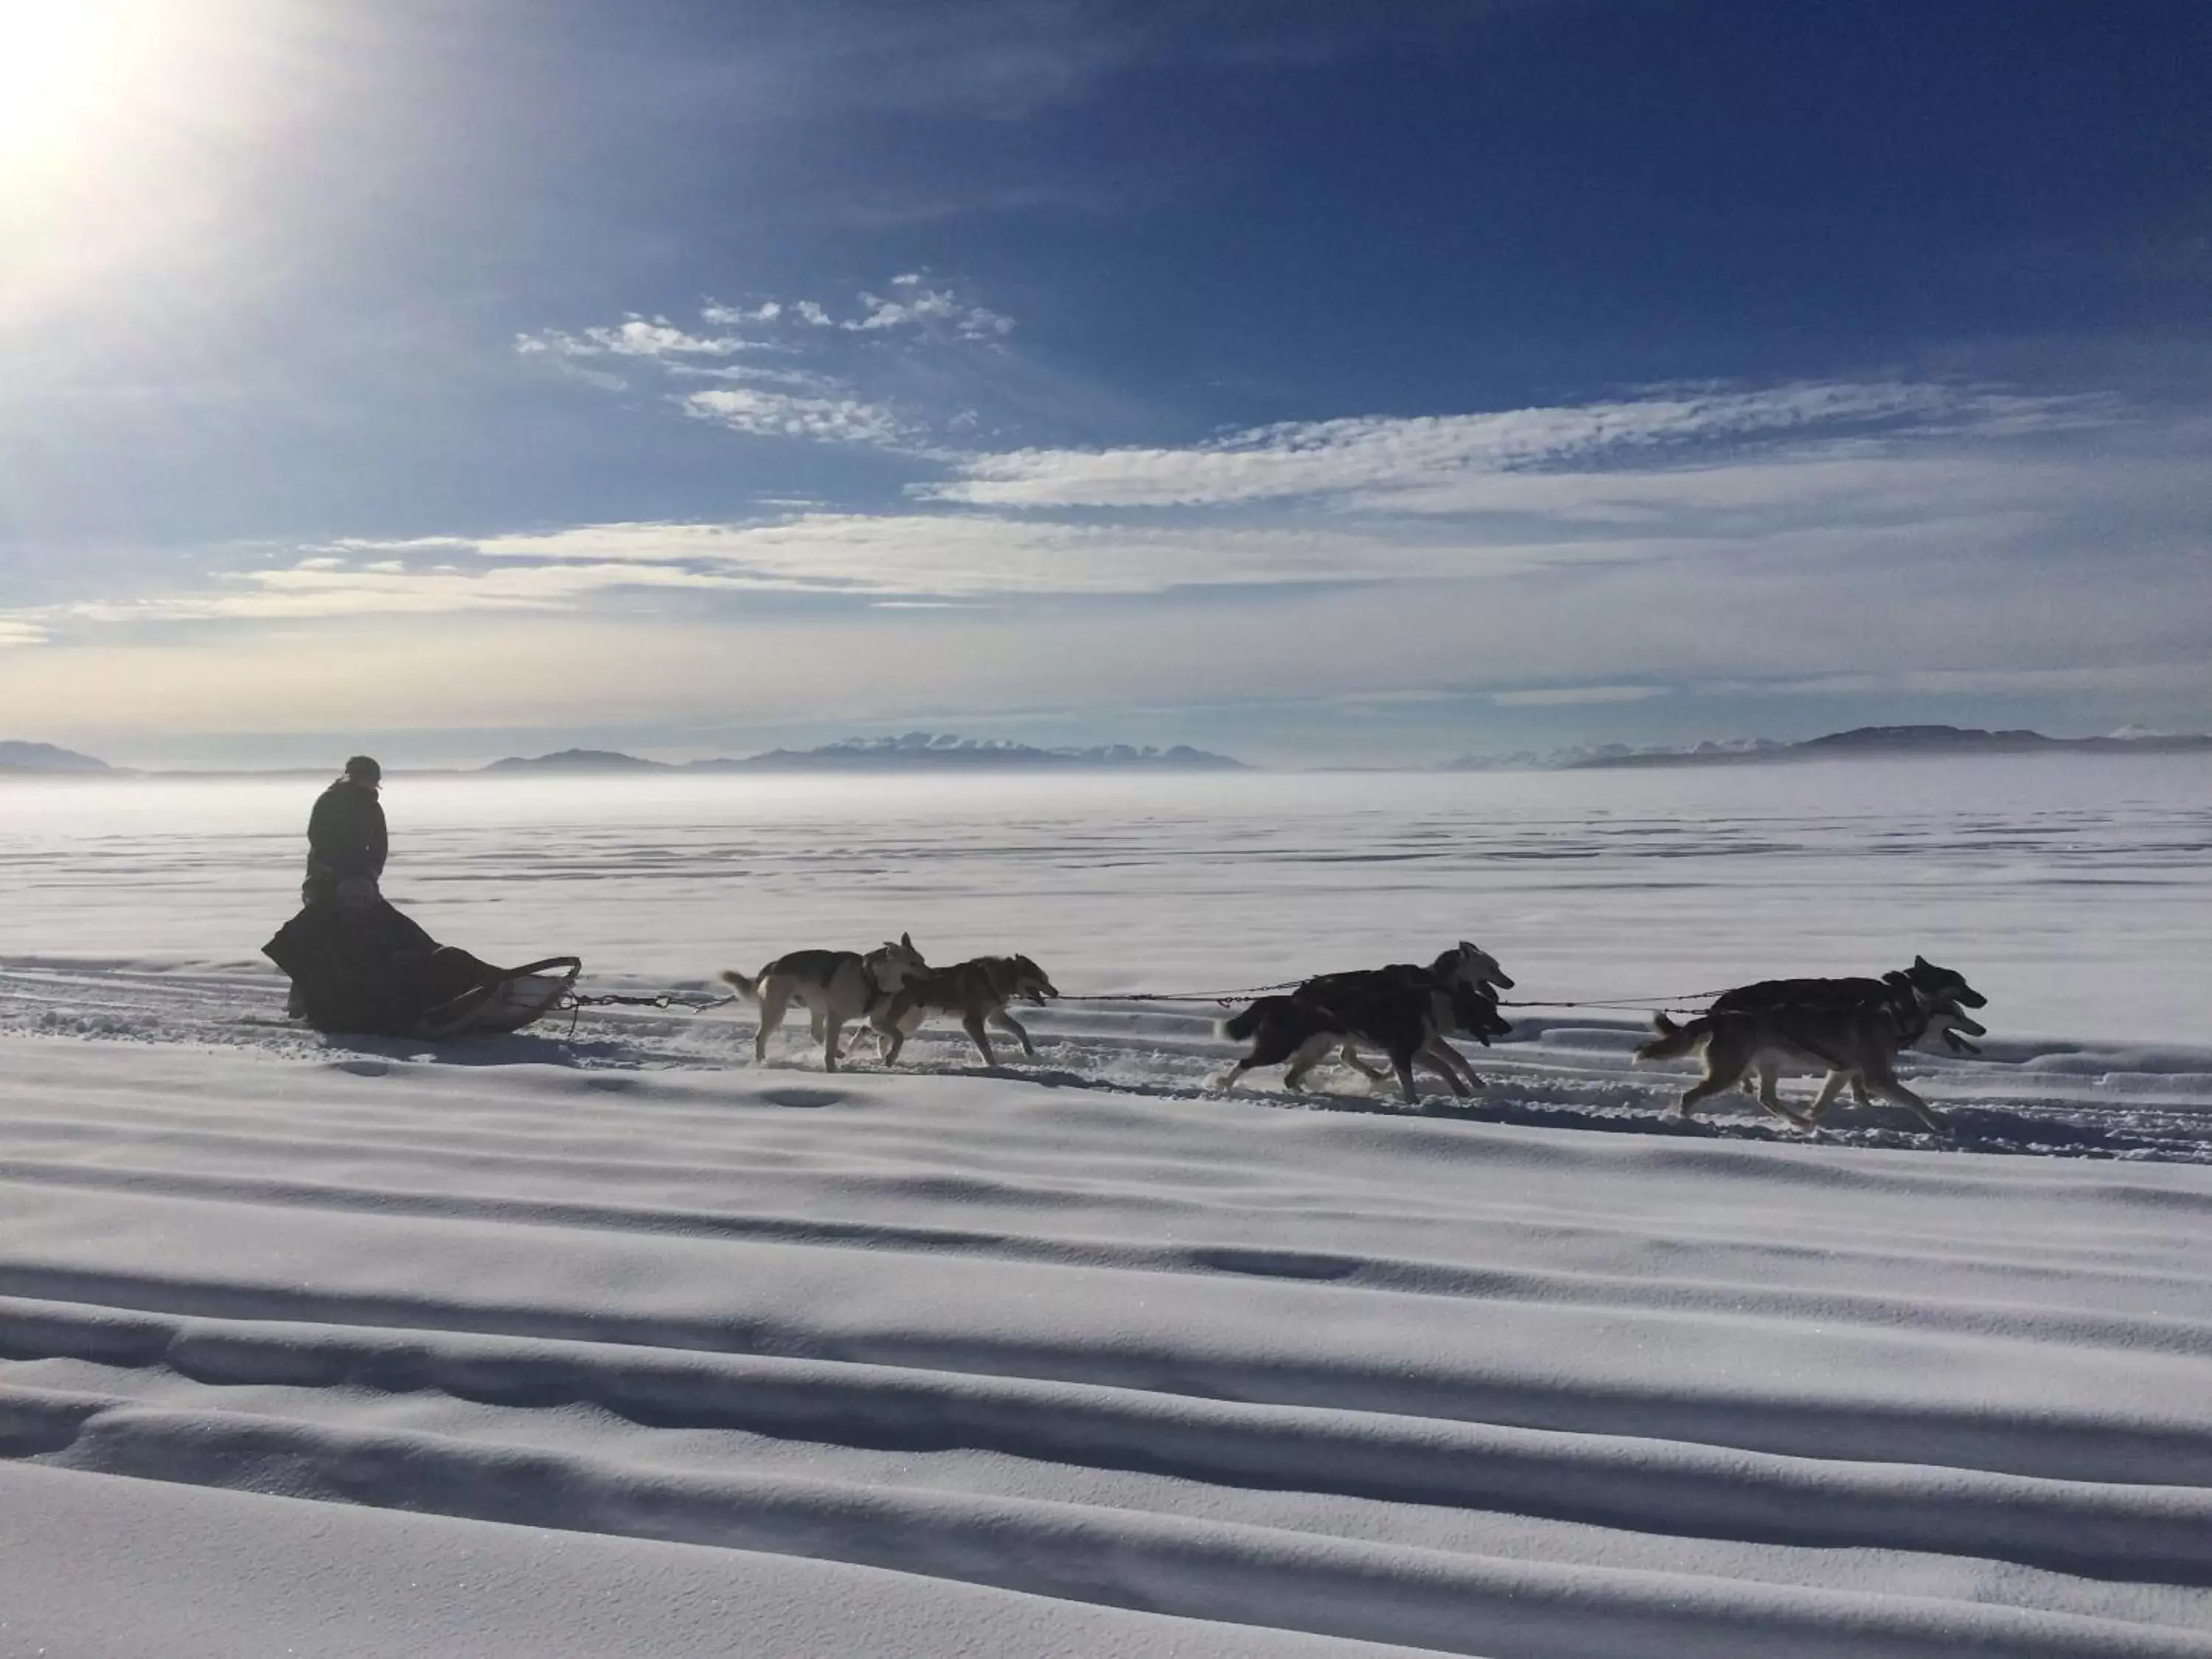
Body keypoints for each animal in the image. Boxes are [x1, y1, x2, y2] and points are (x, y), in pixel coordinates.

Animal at [721, 938, 929, 1079]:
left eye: (923, 960)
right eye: (913, 964)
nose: (932, 973)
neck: (870, 978)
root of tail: (774, 965)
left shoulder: (878, 1021)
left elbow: (899, 1037)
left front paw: (891, 1058)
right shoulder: (836, 1018)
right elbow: (829, 1050)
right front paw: (831, 1070)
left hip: (815, 1009)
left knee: (816, 1033)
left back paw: (839, 1052)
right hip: (777, 1012)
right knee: (761, 1037)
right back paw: (761, 1062)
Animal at [858, 956, 1057, 1071]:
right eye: (1042, 979)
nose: (1056, 992)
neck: (998, 978)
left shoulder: (995, 1017)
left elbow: (1020, 1029)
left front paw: (1029, 1051)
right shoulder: (972, 1022)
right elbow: (986, 1048)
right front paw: (993, 1067)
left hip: (910, 1021)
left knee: (881, 1036)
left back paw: (883, 1056)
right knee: (875, 1030)